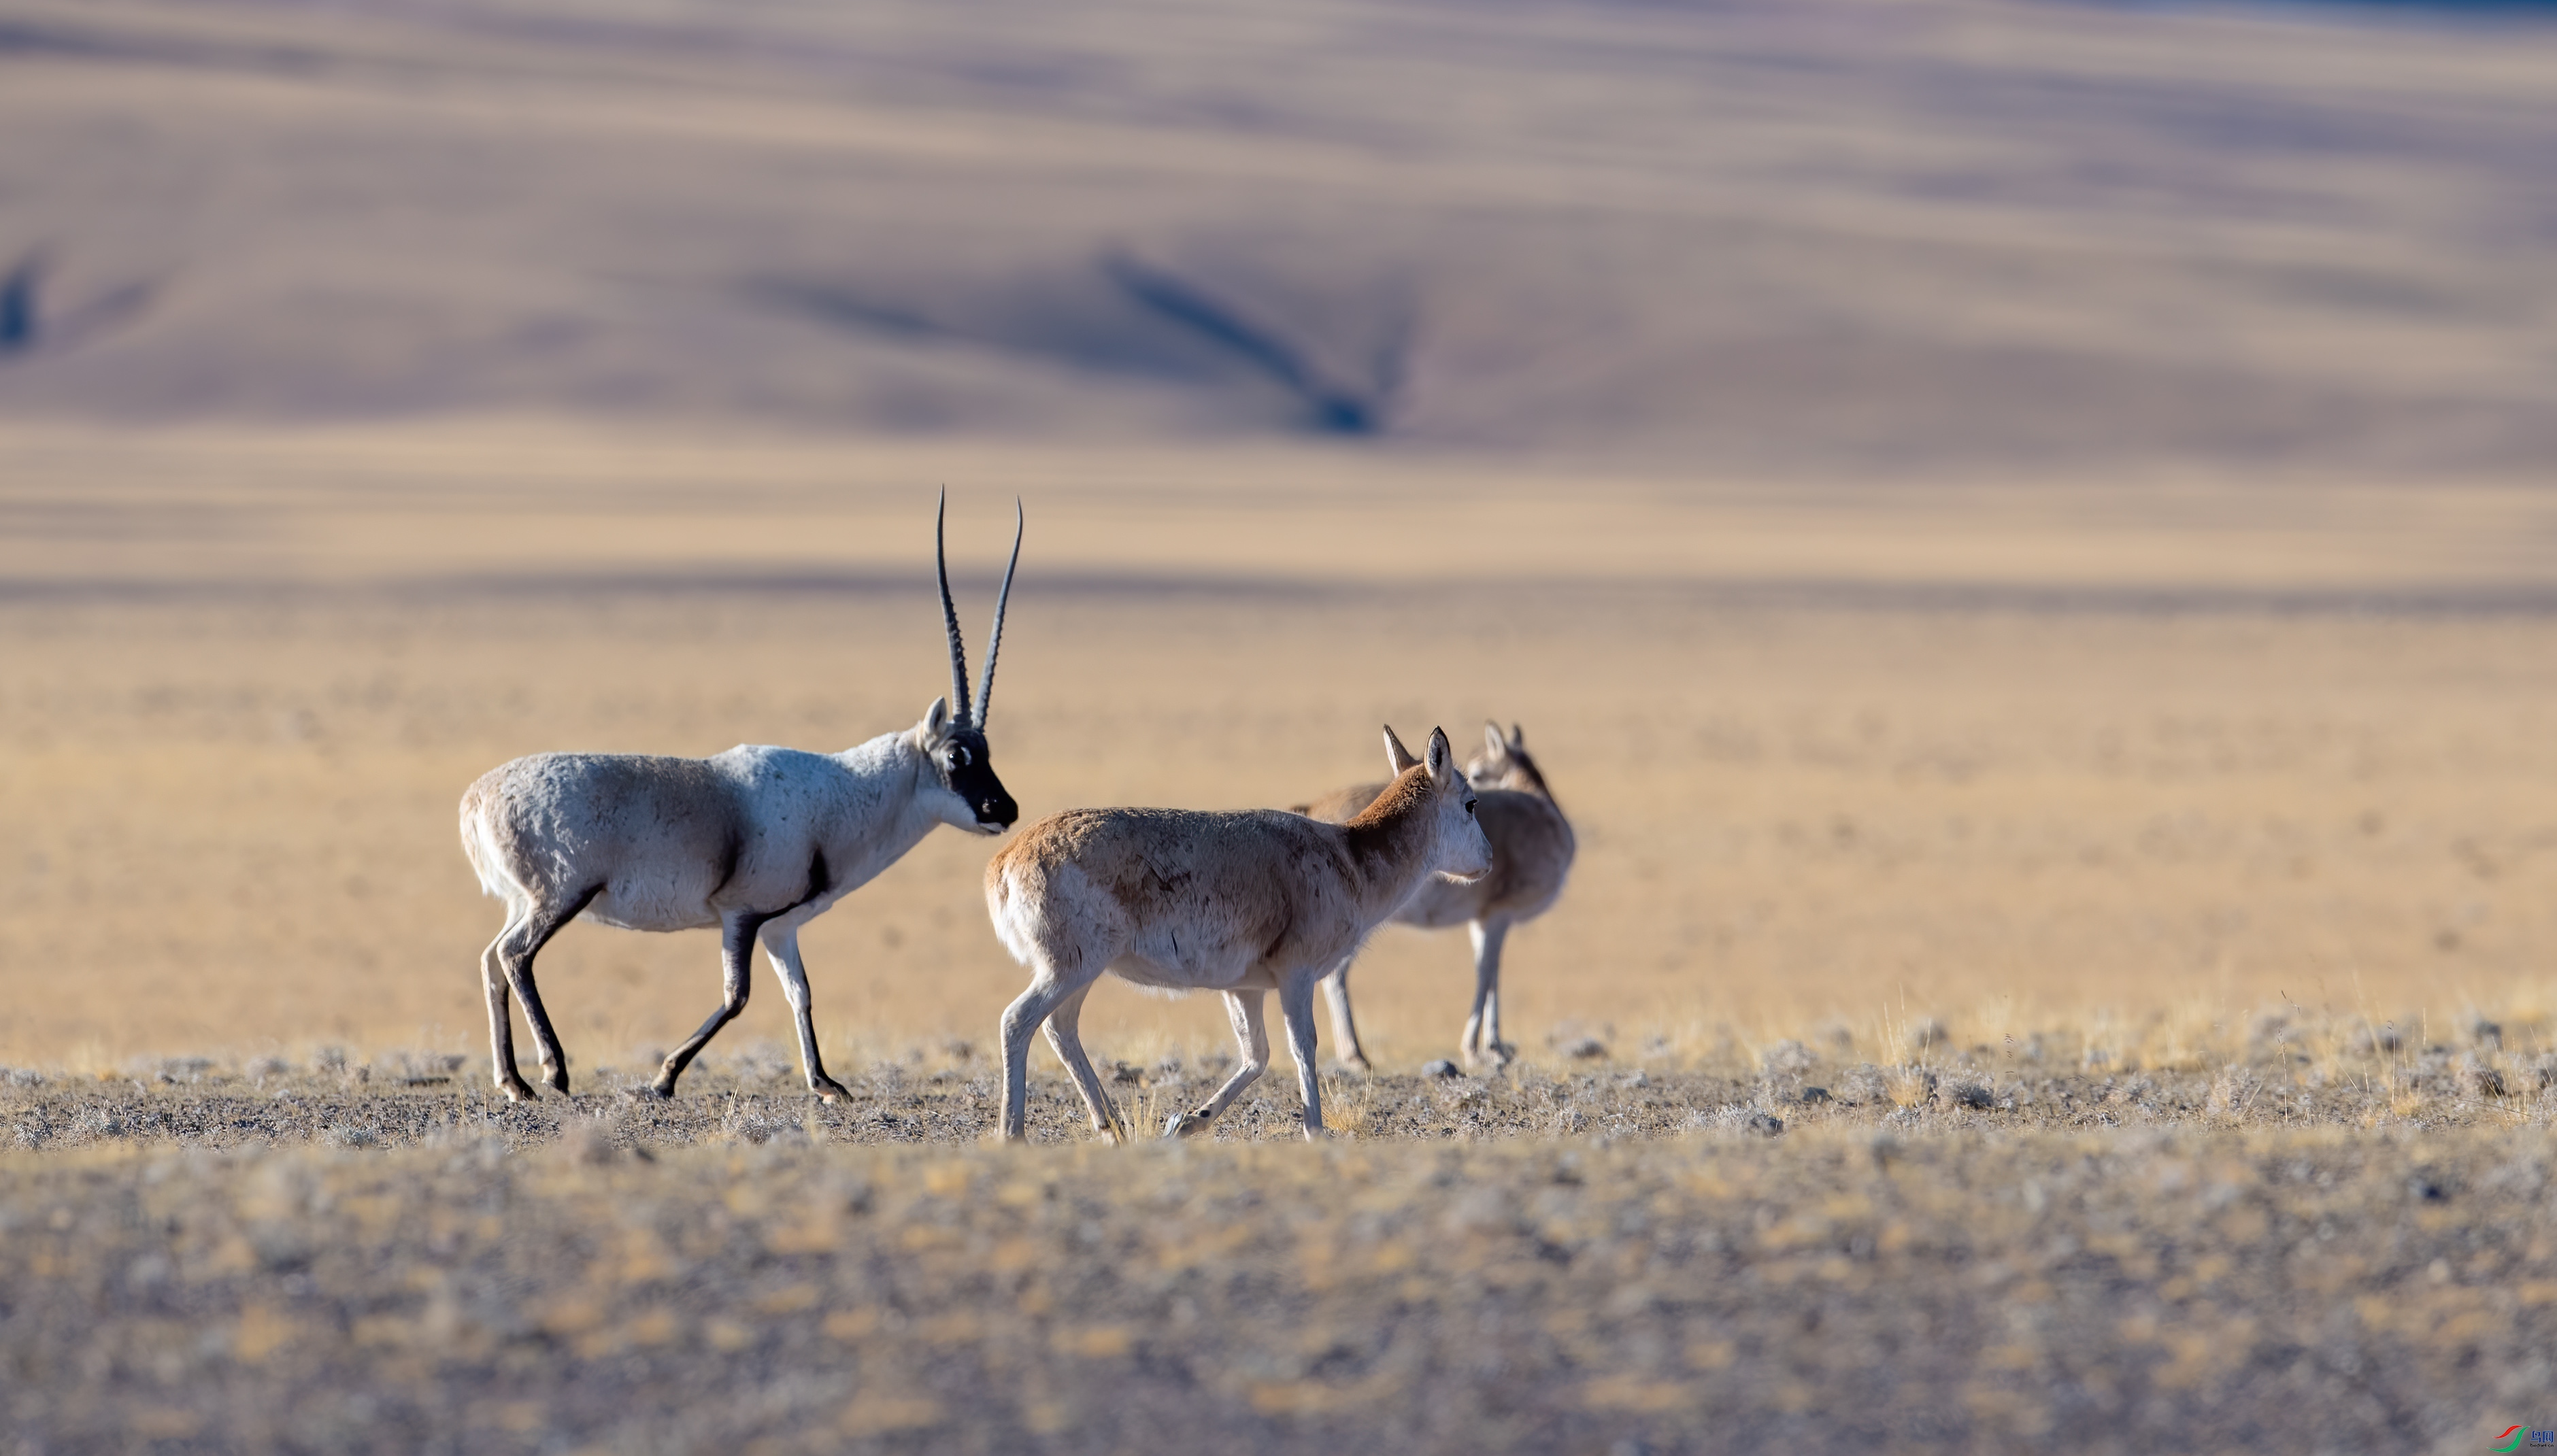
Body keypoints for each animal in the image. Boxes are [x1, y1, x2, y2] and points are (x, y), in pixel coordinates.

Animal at [465, 492, 1022, 1093]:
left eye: (987, 750)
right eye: (956, 756)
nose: (1005, 809)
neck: (841, 794)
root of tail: (477, 797)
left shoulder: (781, 926)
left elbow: (800, 992)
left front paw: (825, 1084)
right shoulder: (742, 914)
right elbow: (738, 997)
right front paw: (664, 1078)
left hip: (523, 900)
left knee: (491, 957)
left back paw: (512, 1080)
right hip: (560, 896)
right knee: (515, 956)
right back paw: (552, 1070)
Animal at [982, 720, 1493, 1139]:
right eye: (1471, 802)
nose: (1489, 860)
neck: (1350, 855)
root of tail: (1003, 861)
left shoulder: (1244, 990)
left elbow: (1256, 1056)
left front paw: (1189, 1122)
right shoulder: (1297, 977)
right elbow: (1302, 1046)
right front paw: (1316, 1131)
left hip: (1079, 974)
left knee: (1060, 1028)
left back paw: (1112, 1127)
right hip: (1070, 969)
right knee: (1017, 1020)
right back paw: (1013, 1133)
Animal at [1299, 715, 1575, 1068]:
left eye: (1479, 772)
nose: (1488, 856)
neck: (1542, 812)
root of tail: (1312, 809)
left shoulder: (1482, 921)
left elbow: (1490, 972)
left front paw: (1493, 1047)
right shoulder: (1498, 915)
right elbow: (1486, 973)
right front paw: (1481, 1049)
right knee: (1335, 977)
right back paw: (1356, 1056)